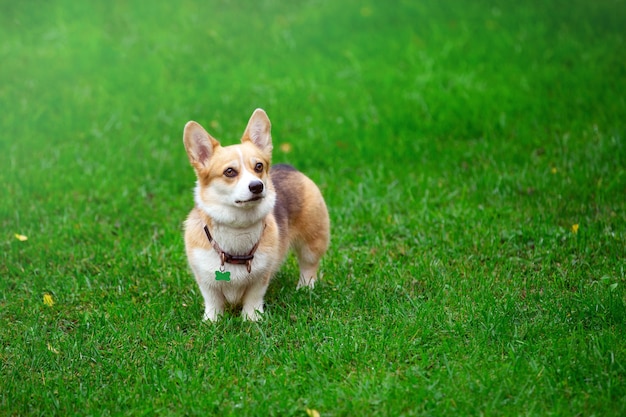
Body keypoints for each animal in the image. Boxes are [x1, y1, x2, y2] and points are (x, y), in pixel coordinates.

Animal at [182, 108, 330, 322]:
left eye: (259, 166)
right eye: (229, 171)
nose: (257, 186)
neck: (238, 228)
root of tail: (289, 167)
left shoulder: (260, 276)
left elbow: (253, 298)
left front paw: (252, 319)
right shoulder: (205, 279)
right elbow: (213, 301)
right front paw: (212, 321)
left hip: (312, 240)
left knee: (309, 265)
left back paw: (304, 288)